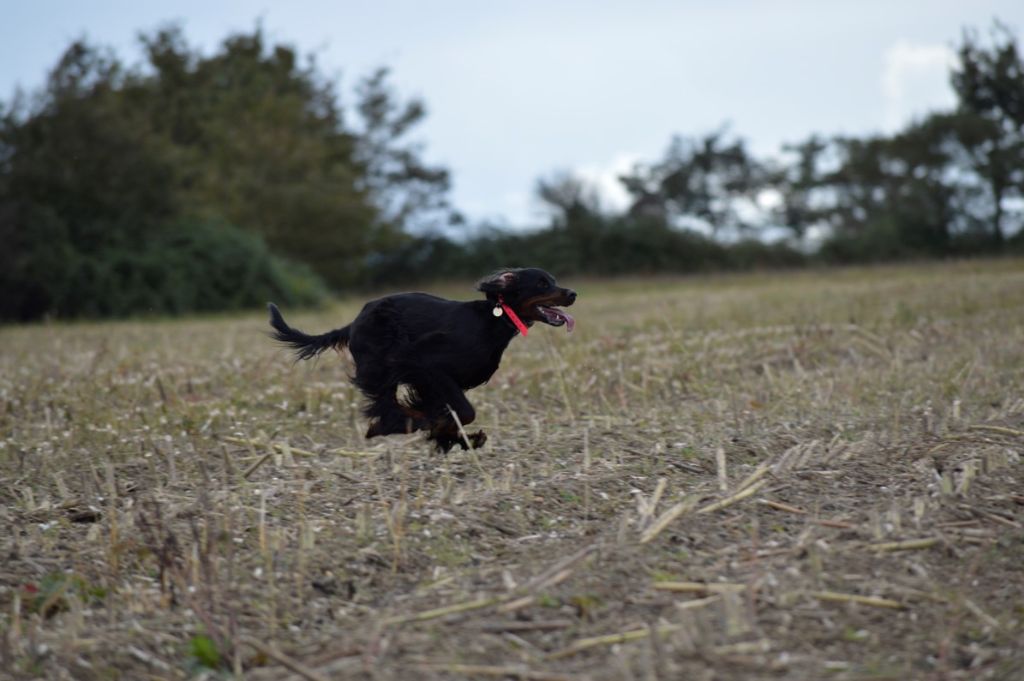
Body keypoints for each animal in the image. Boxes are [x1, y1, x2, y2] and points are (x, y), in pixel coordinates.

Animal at [268, 266, 577, 450]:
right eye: (541, 283)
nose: (573, 293)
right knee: (387, 409)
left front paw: (453, 437)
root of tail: (353, 323)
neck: (494, 318)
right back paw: (394, 426)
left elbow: (449, 413)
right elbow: (465, 412)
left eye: (552, 281)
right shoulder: (429, 367)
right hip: (382, 367)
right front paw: (445, 431)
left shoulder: (434, 384)